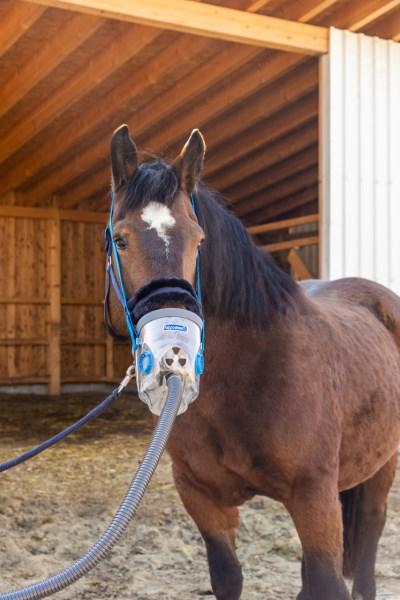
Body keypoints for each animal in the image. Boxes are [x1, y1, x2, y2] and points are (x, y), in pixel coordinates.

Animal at [106, 125, 400, 600]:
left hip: (381, 464)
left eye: (199, 239)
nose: (175, 349)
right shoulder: (202, 497)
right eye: (121, 238)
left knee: (370, 537)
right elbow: (229, 578)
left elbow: (328, 580)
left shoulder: (314, 496)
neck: (250, 372)